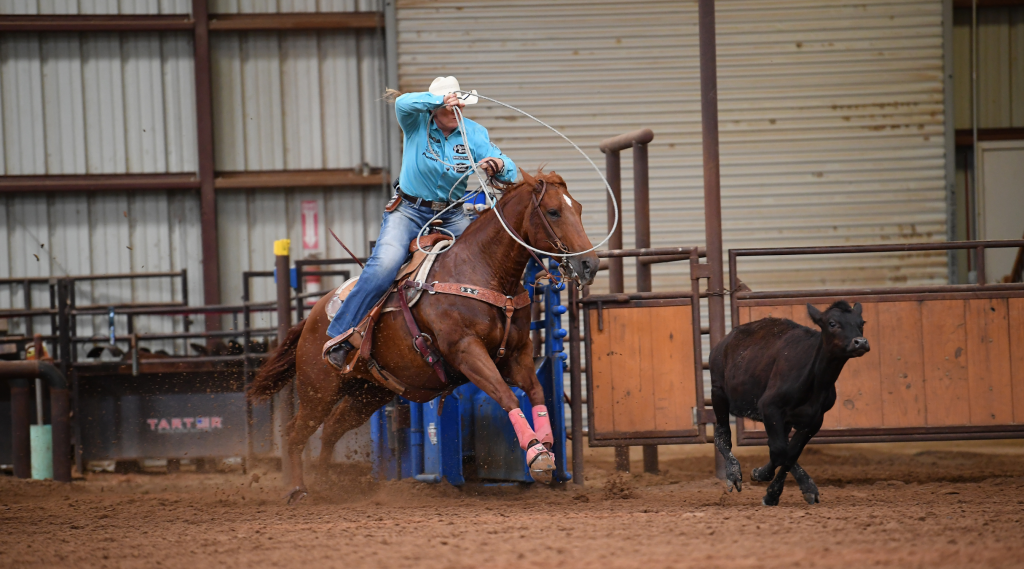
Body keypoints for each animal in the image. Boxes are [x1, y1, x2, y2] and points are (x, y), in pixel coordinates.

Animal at [248, 169, 598, 501]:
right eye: (553, 211)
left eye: (579, 208)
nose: (589, 264)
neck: (484, 272)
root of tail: (310, 318)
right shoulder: (467, 352)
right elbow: (505, 394)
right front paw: (537, 453)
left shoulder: (516, 354)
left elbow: (537, 393)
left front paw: (547, 447)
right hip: (318, 389)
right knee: (295, 433)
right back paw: (299, 489)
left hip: (368, 393)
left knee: (332, 429)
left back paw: (327, 484)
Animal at [712, 300, 872, 505]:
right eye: (832, 323)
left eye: (861, 323)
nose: (860, 342)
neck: (815, 382)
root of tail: (725, 341)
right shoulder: (769, 406)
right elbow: (780, 451)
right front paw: (760, 474)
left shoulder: (814, 420)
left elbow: (790, 453)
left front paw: (772, 494)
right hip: (718, 392)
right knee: (722, 434)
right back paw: (733, 474)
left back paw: (807, 486)